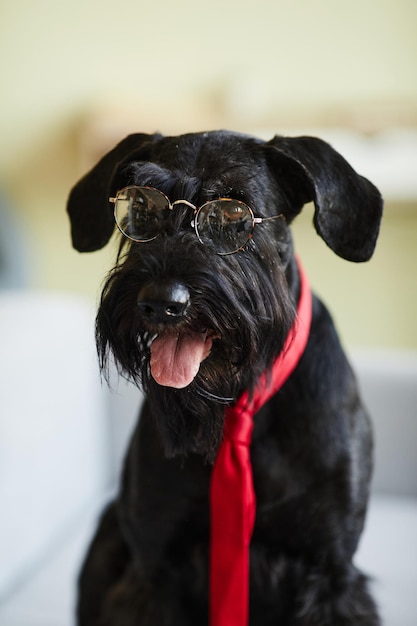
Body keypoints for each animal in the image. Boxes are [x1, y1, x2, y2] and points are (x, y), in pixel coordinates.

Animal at [66, 129, 382, 620]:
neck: (233, 402)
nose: (162, 302)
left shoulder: (330, 571)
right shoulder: (154, 573)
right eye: (141, 206)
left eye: (234, 212)